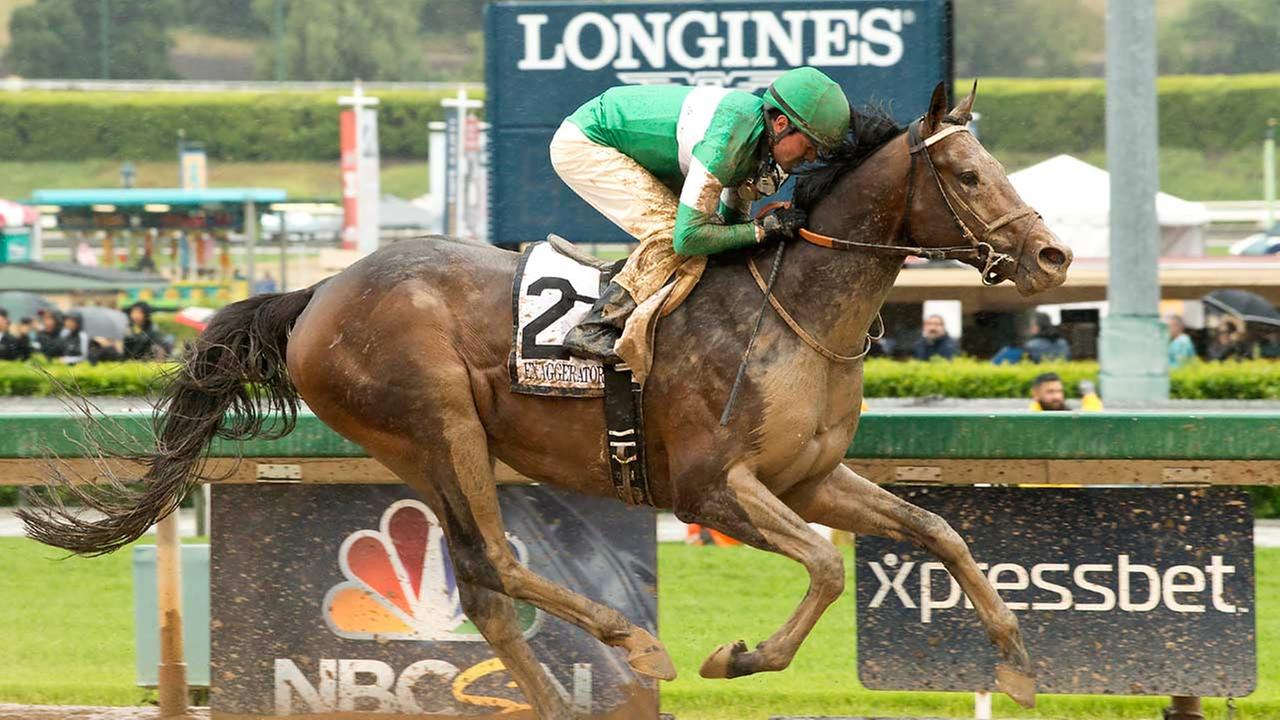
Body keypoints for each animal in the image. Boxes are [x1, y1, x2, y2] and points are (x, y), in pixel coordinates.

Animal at [24, 81, 1070, 712]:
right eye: (968, 172)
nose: (1054, 254)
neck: (793, 311)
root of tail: (317, 292)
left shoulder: (808, 478)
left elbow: (938, 532)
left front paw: (1020, 668)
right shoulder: (711, 487)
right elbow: (823, 566)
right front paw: (735, 658)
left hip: (429, 450)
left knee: (484, 588)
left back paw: (562, 696)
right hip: (438, 426)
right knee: (491, 564)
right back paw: (632, 647)